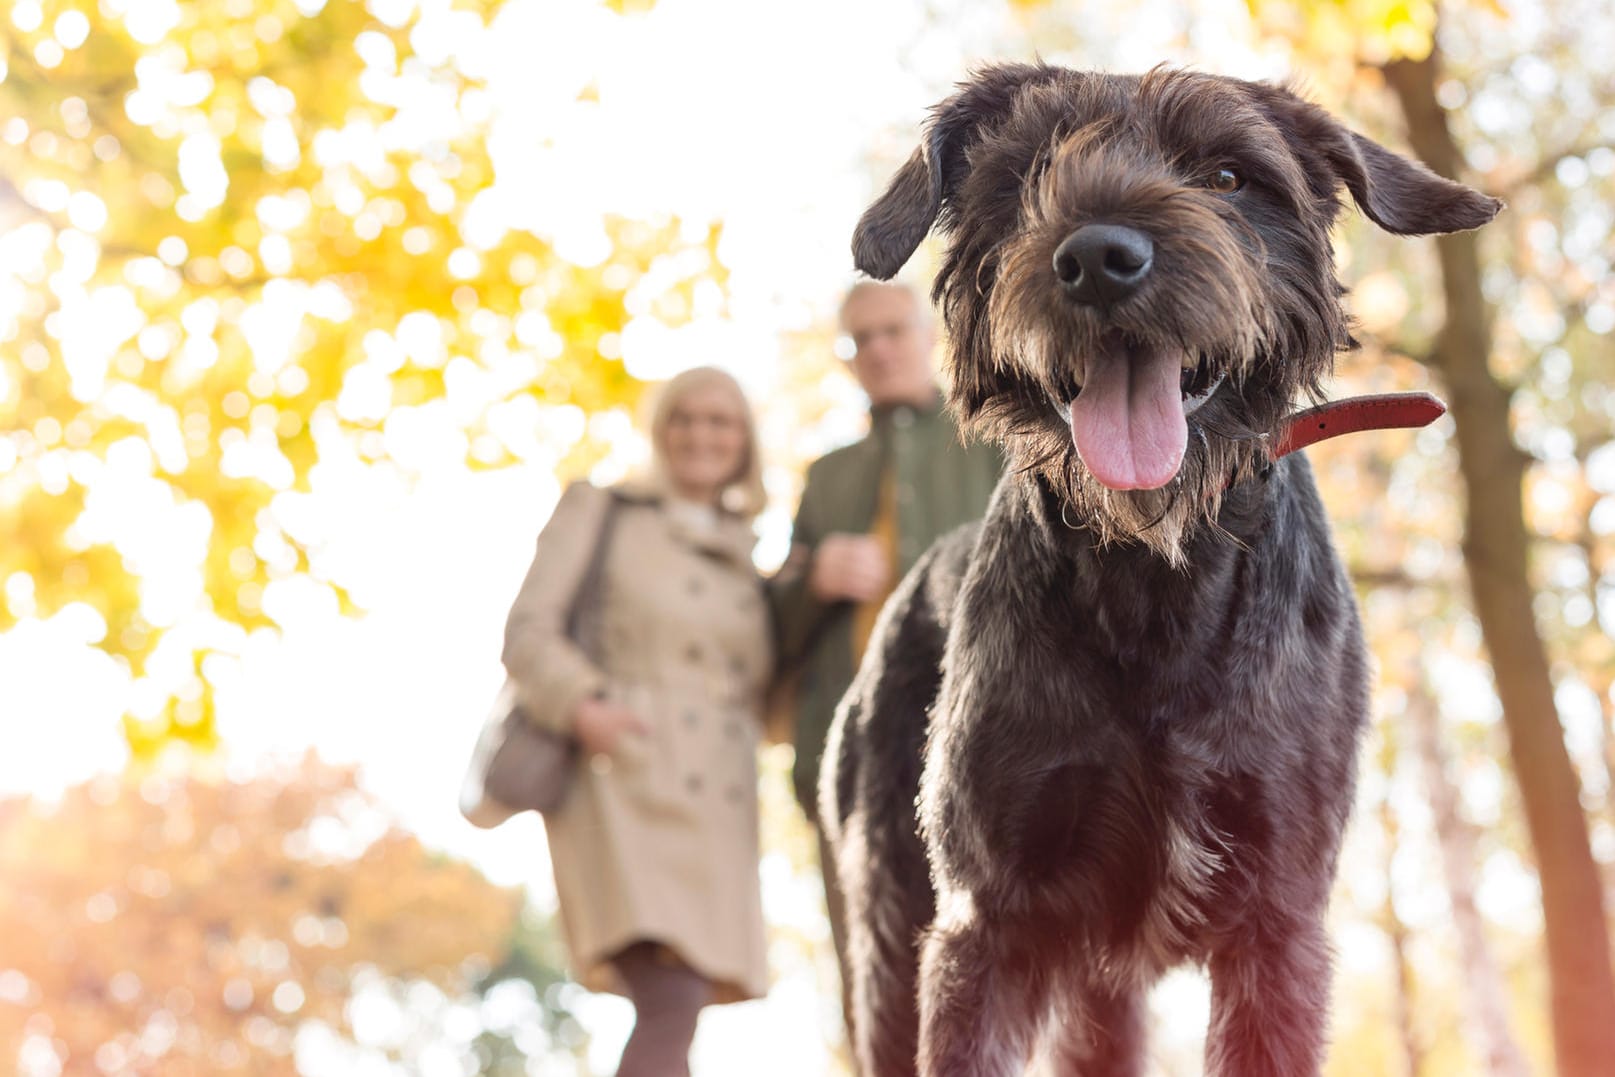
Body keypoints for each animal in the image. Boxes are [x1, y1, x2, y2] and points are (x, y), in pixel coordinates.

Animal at [820, 67, 1498, 1077]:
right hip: (887, 932)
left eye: (1225, 175)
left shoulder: (1277, 917)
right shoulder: (985, 922)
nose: (1099, 258)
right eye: (1025, 174)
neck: (1154, 577)